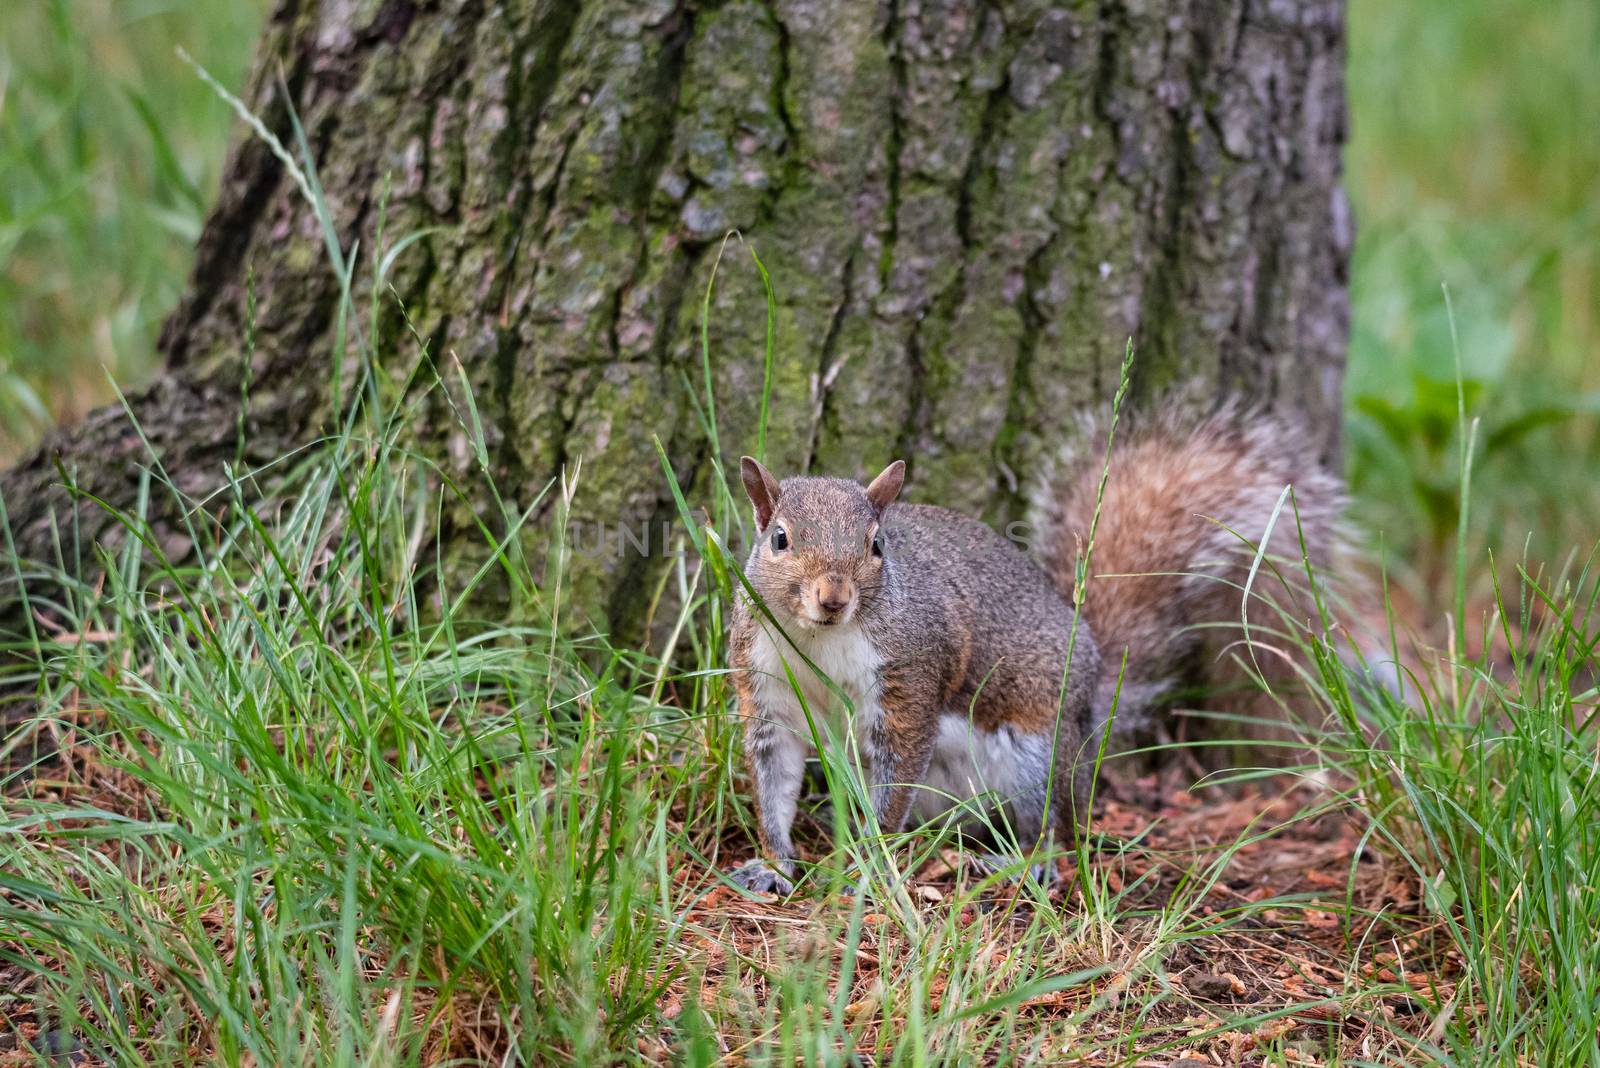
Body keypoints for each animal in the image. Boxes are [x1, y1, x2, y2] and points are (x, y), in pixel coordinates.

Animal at [729, 409, 1350, 895]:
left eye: (876, 545)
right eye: (779, 539)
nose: (833, 597)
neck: (820, 638)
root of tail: (1092, 687)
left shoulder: (909, 680)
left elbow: (896, 776)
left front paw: (869, 867)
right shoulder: (764, 690)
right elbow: (772, 779)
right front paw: (773, 864)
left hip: (1036, 755)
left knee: (1053, 828)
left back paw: (1024, 862)